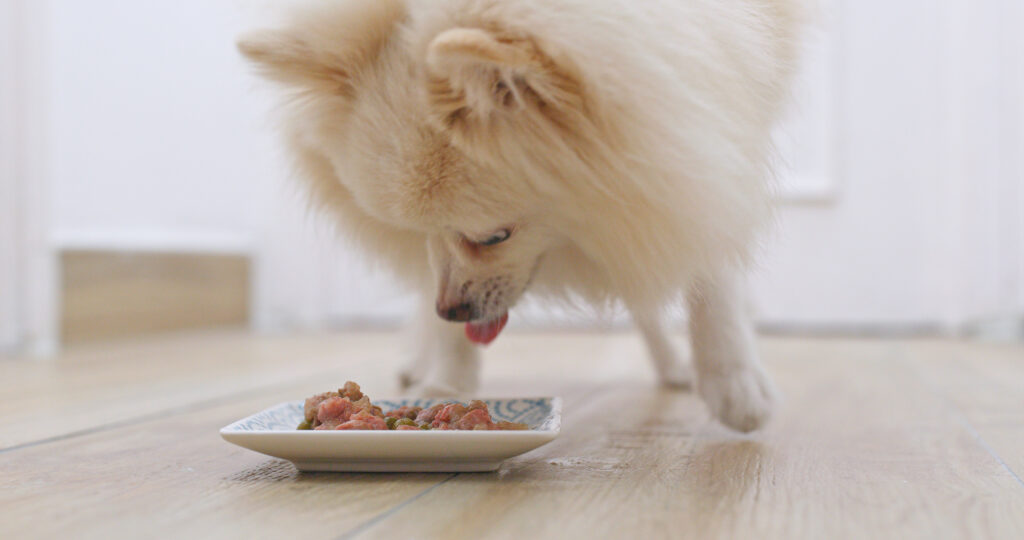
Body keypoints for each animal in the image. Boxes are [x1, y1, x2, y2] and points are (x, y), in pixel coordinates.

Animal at [239, 0, 806, 430]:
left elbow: (709, 253)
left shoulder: (714, 134)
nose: (450, 311)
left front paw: (733, 382)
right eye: (417, 232)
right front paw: (446, 381)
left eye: (494, 237)